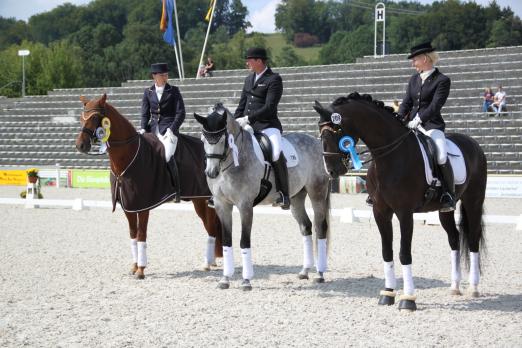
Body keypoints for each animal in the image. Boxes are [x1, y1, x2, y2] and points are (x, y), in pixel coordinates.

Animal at [74, 94, 220, 278]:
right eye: (81, 117)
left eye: (94, 117)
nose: (80, 145)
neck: (128, 156)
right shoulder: (128, 206)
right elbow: (133, 234)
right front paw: (134, 266)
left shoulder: (143, 205)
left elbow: (142, 234)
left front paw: (141, 270)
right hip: (199, 200)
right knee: (210, 227)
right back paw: (209, 263)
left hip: (204, 198)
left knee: (211, 227)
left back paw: (208, 263)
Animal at [195, 104, 330, 290]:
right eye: (203, 139)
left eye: (222, 139)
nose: (211, 172)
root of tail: (316, 142)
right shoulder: (222, 205)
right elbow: (227, 241)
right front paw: (225, 279)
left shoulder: (245, 205)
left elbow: (244, 241)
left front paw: (246, 281)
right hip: (296, 198)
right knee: (306, 227)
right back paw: (304, 271)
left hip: (317, 192)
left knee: (320, 228)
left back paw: (319, 274)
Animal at [312, 92, 488, 310]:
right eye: (320, 133)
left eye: (337, 130)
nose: (332, 171)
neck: (389, 156)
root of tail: (473, 143)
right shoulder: (380, 212)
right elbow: (387, 251)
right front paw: (387, 294)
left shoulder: (405, 213)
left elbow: (404, 253)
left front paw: (408, 299)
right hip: (445, 209)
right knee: (454, 239)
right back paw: (455, 287)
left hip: (473, 201)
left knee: (472, 239)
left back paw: (474, 288)